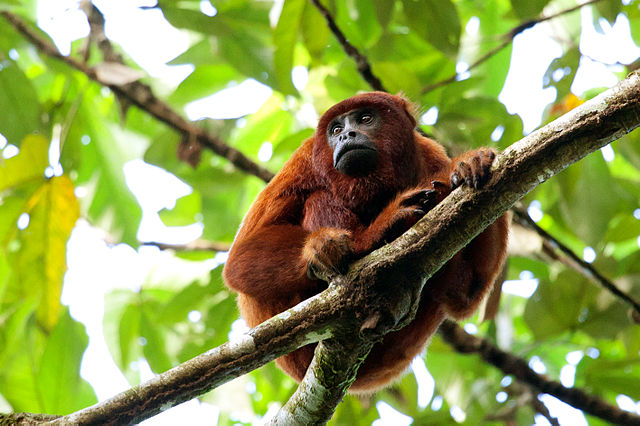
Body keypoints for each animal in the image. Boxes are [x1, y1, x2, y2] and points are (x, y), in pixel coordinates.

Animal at [225, 91, 510, 392]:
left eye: (365, 118)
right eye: (335, 129)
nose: (346, 135)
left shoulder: (431, 156)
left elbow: (466, 295)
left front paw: (471, 163)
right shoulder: (303, 161)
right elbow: (238, 262)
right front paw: (329, 247)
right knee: (318, 198)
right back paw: (369, 240)